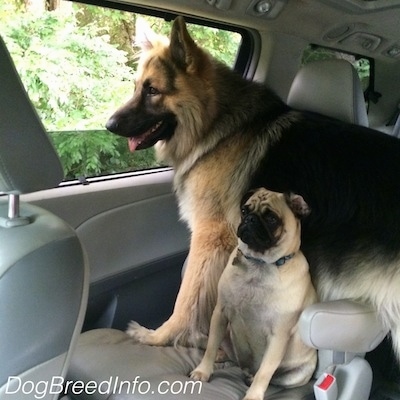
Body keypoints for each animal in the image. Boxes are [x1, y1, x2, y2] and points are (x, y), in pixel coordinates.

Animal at [105, 15, 400, 360]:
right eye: (136, 87)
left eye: (152, 90)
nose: (108, 125)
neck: (218, 125)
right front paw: (205, 342)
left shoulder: (210, 236)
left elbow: (187, 297)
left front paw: (160, 337)